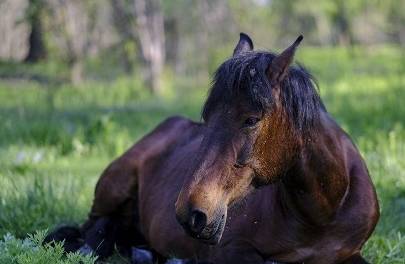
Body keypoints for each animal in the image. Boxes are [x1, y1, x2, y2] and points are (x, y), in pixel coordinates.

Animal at [47, 33, 378, 264]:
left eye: (251, 120)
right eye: (206, 118)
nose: (189, 213)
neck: (322, 212)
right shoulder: (230, 250)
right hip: (113, 188)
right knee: (92, 228)